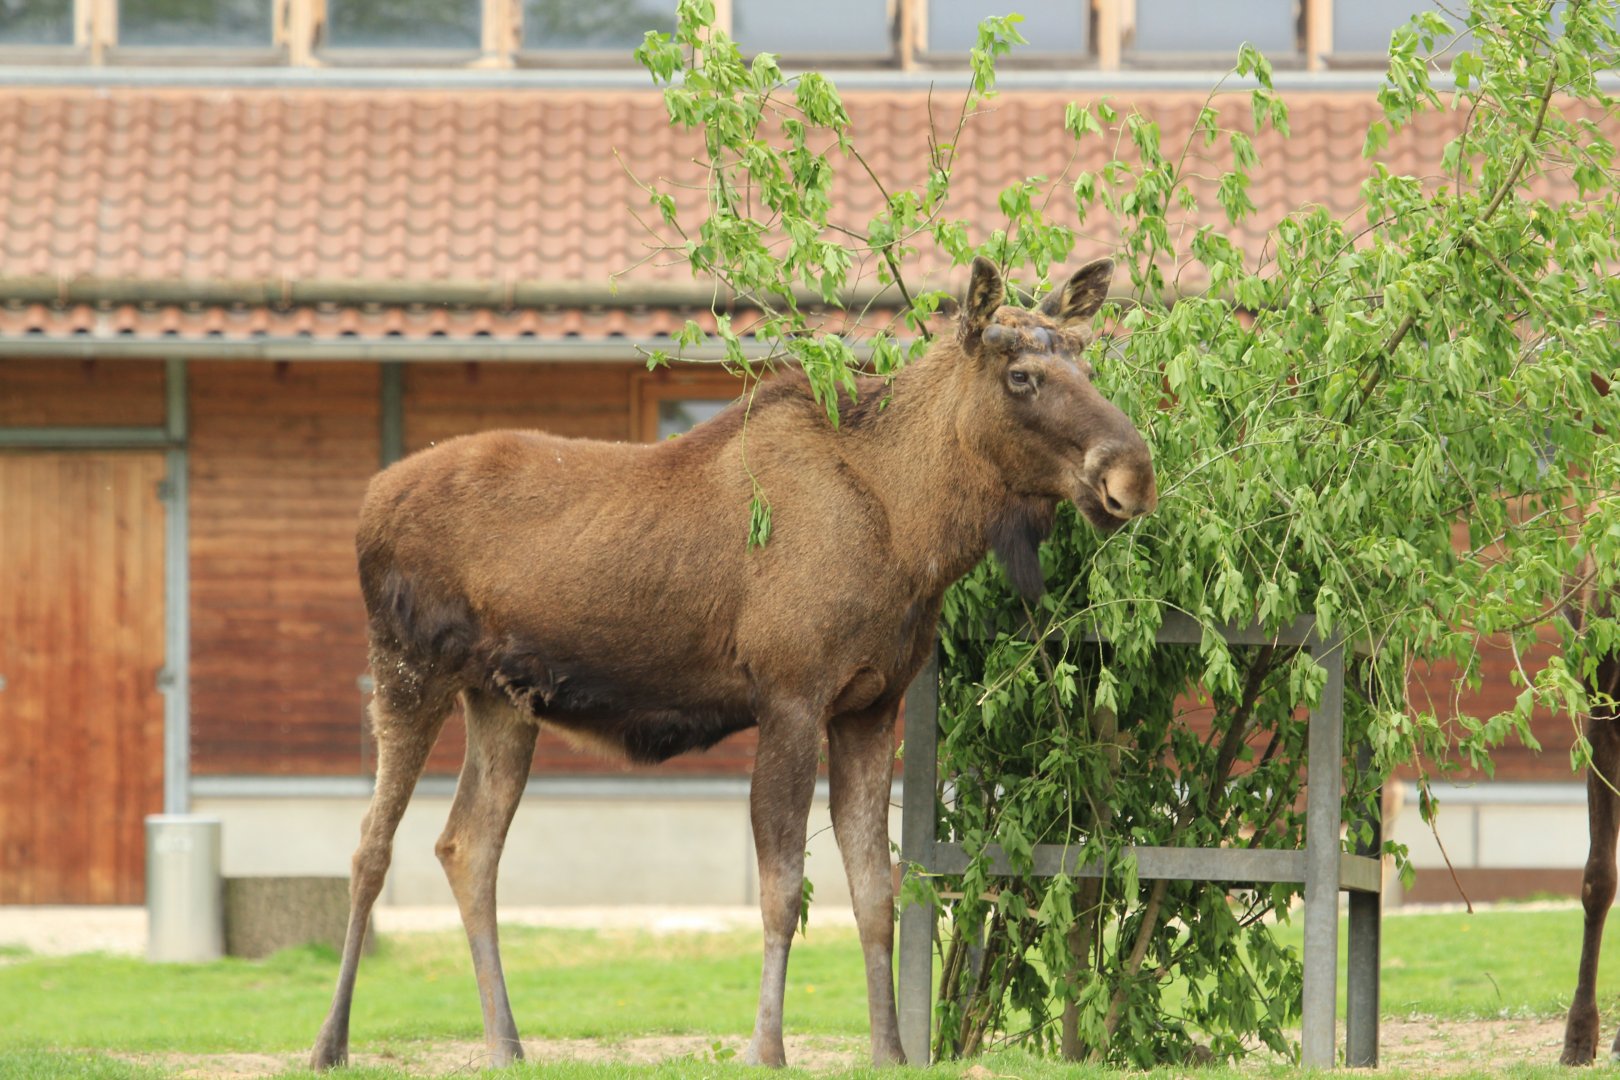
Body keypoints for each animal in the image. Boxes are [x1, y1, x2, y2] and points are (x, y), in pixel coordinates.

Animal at [308, 255, 1157, 1070]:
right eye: (1023, 376)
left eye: (1088, 360)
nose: (1133, 474)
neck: (914, 534)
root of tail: (369, 500)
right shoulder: (789, 694)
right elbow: (783, 889)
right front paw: (768, 1048)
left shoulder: (869, 706)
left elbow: (875, 892)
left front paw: (889, 1050)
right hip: (406, 668)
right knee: (370, 847)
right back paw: (331, 1043)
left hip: (503, 699)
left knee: (467, 847)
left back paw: (506, 1045)